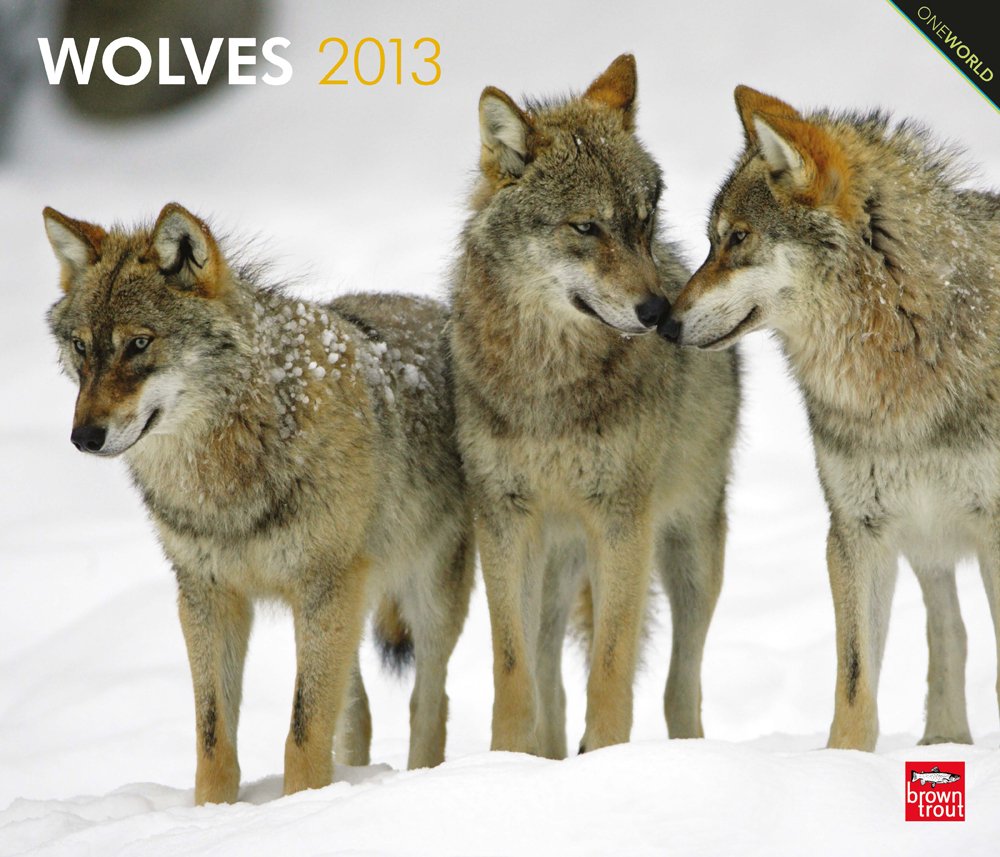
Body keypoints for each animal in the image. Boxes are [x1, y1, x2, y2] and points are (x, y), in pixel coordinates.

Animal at [44, 202, 474, 803]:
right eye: (82, 347)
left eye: (139, 344)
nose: (83, 437)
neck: (225, 482)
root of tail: (436, 308)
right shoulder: (207, 597)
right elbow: (213, 739)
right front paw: (215, 812)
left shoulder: (323, 589)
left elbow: (302, 733)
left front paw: (302, 807)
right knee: (359, 712)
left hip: (424, 599)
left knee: (428, 704)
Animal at [450, 54, 741, 757]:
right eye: (586, 227)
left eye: (644, 221)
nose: (662, 313)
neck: (549, 382)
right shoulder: (503, 520)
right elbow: (513, 670)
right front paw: (504, 763)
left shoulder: (622, 518)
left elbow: (611, 665)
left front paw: (607, 759)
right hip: (557, 560)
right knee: (551, 676)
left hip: (690, 550)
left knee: (680, 683)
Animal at [660, 85, 1000, 750]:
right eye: (711, 242)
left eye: (737, 239)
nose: (663, 323)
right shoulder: (855, 531)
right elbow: (855, 687)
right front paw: (842, 764)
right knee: (949, 630)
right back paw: (944, 742)